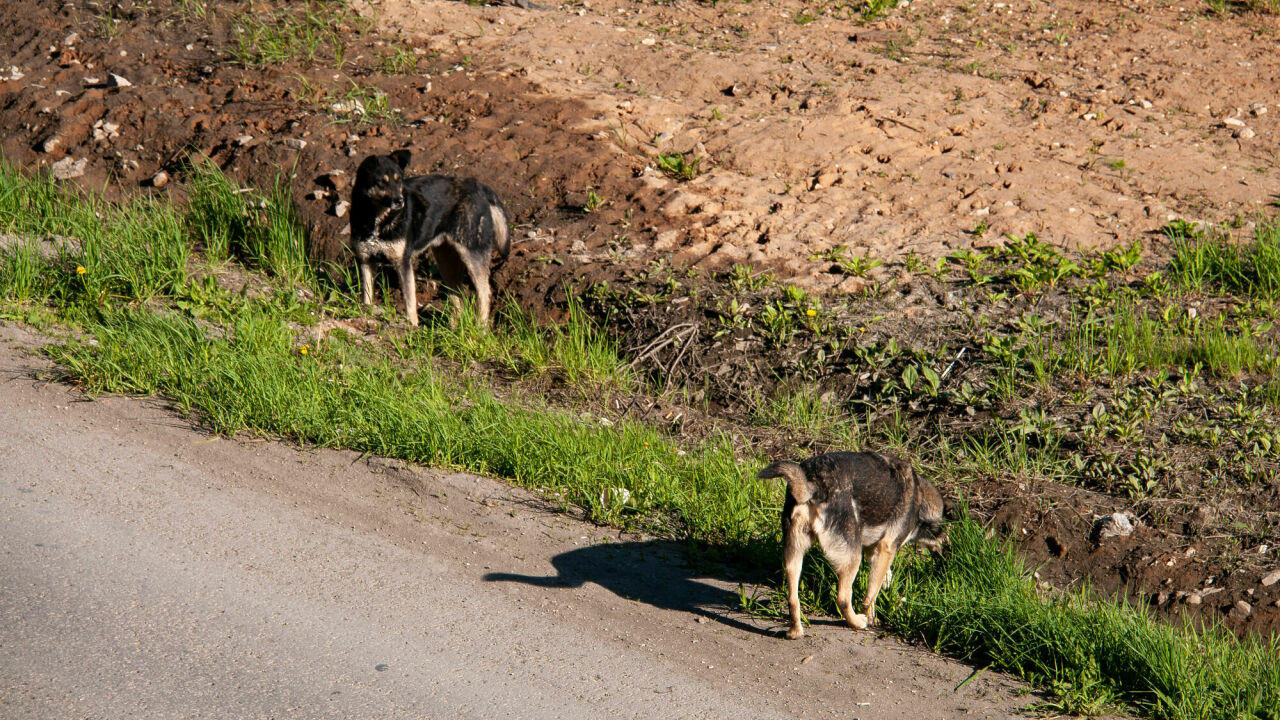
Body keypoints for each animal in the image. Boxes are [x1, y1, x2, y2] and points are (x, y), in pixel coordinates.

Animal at [353, 149, 512, 326]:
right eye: (381, 182)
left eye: (398, 180)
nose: (400, 201)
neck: (377, 219)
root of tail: (480, 186)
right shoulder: (365, 260)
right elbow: (367, 295)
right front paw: (367, 314)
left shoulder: (402, 263)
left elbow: (409, 300)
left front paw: (412, 326)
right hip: (446, 261)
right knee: (458, 296)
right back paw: (454, 328)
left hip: (473, 254)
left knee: (485, 293)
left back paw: (481, 327)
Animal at [752, 450, 947, 635]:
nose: (947, 559)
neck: (920, 498)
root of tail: (812, 483)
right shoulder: (887, 547)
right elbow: (871, 595)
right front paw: (872, 617)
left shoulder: (875, 551)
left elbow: (885, 578)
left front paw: (894, 596)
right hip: (853, 558)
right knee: (843, 599)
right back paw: (858, 622)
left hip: (794, 554)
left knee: (793, 599)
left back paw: (795, 632)